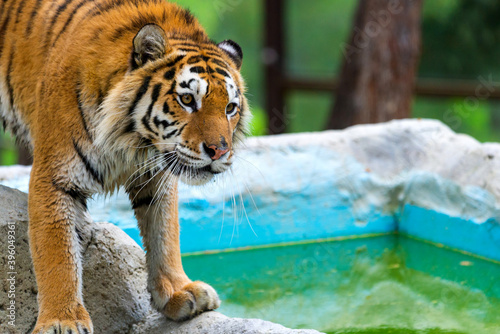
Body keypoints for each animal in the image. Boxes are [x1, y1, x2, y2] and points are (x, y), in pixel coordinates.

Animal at [0, 0, 250, 332]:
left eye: (230, 108)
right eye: (187, 100)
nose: (219, 151)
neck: (135, 142)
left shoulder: (158, 177)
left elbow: (165, 232)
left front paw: (178, 292)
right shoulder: (54, 178)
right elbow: (57, 254)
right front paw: (62, 320)